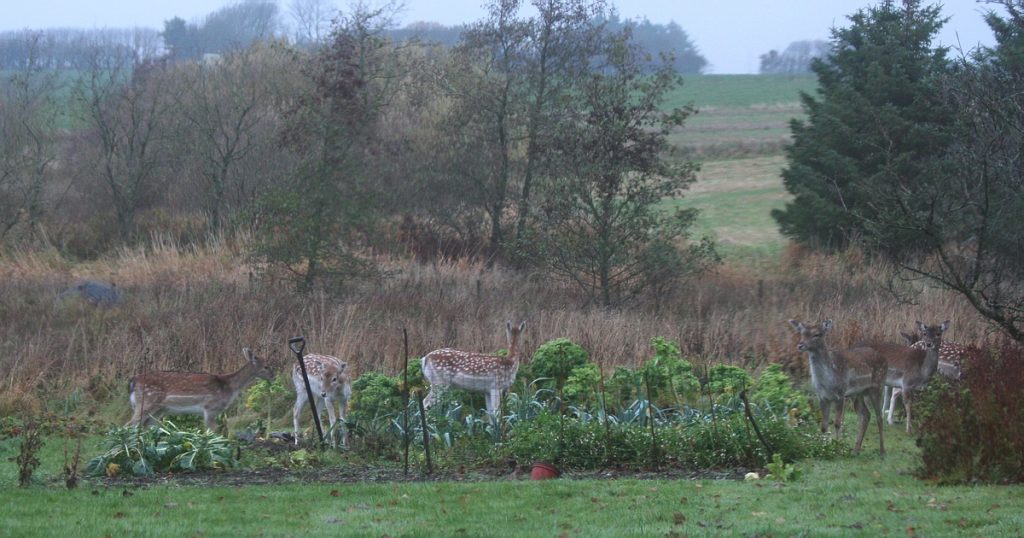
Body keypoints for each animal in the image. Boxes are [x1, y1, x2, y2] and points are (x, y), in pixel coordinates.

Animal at [125, 346, 274, 430]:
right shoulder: (210, 407)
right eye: (266, 366)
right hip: (146, 402)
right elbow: (213, 432)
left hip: (157, 410)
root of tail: (133, 382)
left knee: (144, 427)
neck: (229, 387)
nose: (274, 376)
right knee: (129, 425)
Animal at [786, 317, 884, 454]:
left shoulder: (841, 394)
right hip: (858, 393)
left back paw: (882, 451)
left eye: (817, 334)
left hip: (877, 387)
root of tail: (884, 359)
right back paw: (855, 450)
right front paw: (823, 448)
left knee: (879, 416)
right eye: (801, 333)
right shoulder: (822, 397)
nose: (800, 345)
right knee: (866, 415)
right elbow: (823, 426)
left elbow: (837, 423)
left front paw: (837, 448)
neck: (828, 381)